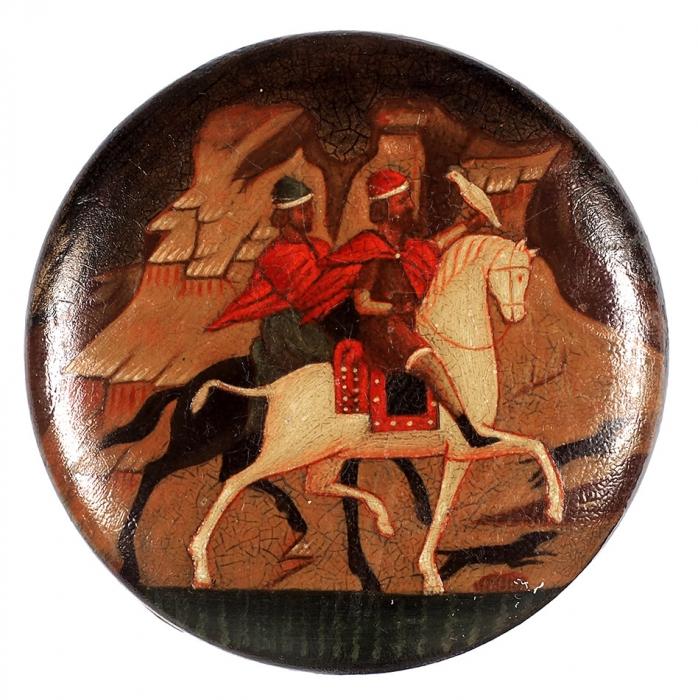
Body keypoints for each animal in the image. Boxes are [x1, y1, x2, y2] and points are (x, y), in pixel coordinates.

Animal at [189, 235, 565, 594]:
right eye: (518, 274)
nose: (516, 315)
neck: (455, 354)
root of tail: (274, 389)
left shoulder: (461, 453)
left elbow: (528, 449)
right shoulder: (467, 446)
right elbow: (524, 452)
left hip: (329, 453)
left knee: (316, 485)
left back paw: (381, 517)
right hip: (291, 450)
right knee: (235, 482)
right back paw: (199, 566)